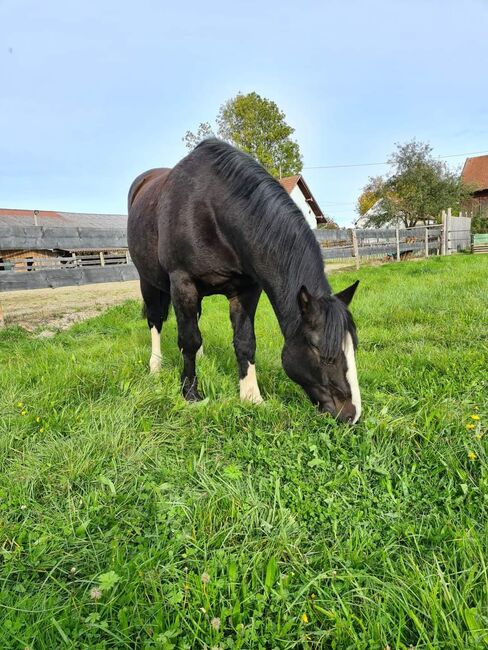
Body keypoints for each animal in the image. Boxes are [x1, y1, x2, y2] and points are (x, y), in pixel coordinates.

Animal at [127, 139, 360, 422]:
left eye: (352, 347)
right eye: (322, 354)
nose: (352, 414)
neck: (211, 210)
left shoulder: (247, 289)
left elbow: (245, 342)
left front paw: (252, 397)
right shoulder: (183, 283)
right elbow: (188, 340)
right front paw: (190, 394)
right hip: (148, 282)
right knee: (156, 321)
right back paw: (156, 366)